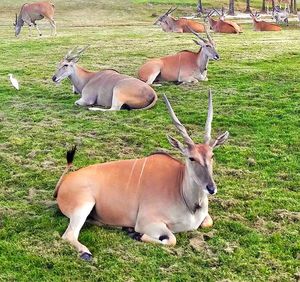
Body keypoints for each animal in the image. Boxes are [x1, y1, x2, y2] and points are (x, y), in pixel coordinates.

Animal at [54, 90, 229, 260]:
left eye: (212, 156)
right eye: (191, 158)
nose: (211, 188)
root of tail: (65, 181)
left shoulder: (204, 219)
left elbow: (208, 222)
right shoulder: (147, 222)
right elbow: (171, 239)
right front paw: (136, 234)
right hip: (84, 205)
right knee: (69, 235)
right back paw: (86, 252)